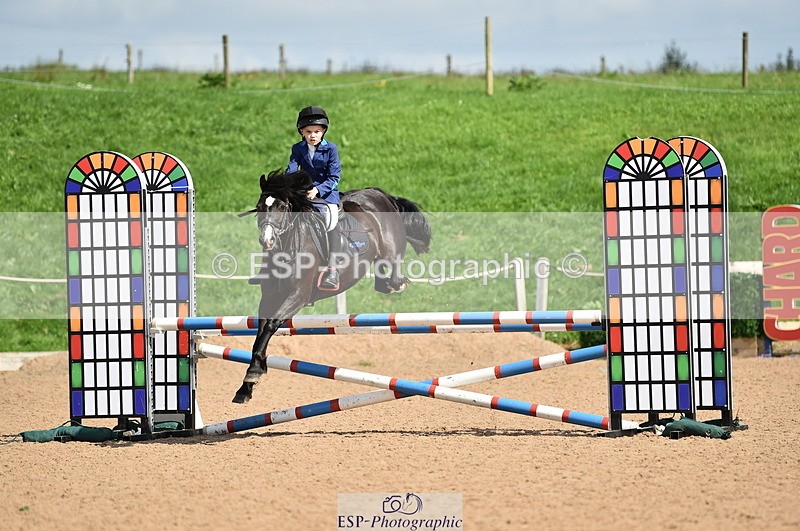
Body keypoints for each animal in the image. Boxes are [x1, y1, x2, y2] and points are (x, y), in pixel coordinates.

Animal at [233, 169, 432, 403]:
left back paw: (397, 284)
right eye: (260, 206)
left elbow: (272, 324)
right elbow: (261, 331)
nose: (267, 240)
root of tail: (377, 193)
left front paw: (255, 372)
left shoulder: (298, 296)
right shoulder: (269, 298)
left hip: (391, 250)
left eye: (282, 208)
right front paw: (248, 382)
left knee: (392, 270)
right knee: (381, 280)